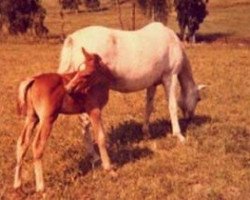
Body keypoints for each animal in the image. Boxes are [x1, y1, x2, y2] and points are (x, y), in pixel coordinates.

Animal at [14, 48, 114, 192]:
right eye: (78, 70)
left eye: (87, 74)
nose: (68, 89)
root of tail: (34, 79)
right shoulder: (94, 110)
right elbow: (100, 136)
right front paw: (109, 168)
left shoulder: (89, 112)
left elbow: (87, 130)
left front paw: (95, 158)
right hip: (47, 119)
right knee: (37, 145)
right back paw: (41, 187)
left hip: (32, 118)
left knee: (22, 143)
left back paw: (17, 184)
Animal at [58, 22, 205, 143]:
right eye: (198, 99)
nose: (190, 119)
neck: (171, 40)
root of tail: (74, 39)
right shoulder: (170, 76)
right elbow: (172, 105)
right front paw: (179, 135)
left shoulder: (152, 84)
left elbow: (149, 107)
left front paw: (146, 133)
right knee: (84, 121)